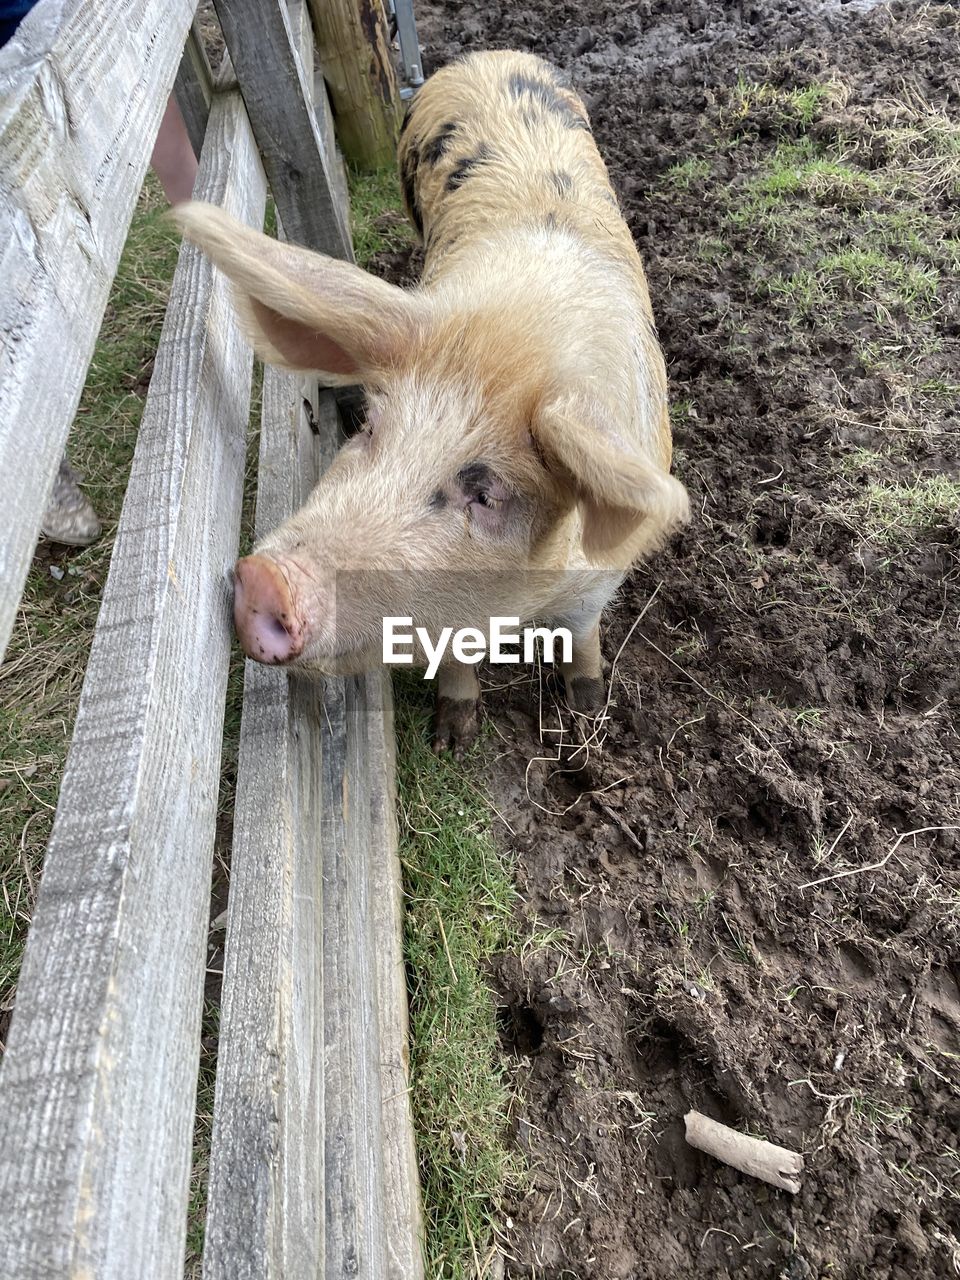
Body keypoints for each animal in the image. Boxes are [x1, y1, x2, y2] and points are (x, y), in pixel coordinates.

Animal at [176, 49, 686, 752]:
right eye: (367, 425)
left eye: (486, 492)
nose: (265, 581)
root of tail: (486, 56)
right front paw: (451, 736)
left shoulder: (597, 580)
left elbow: (582, 637)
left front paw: (586, 713)